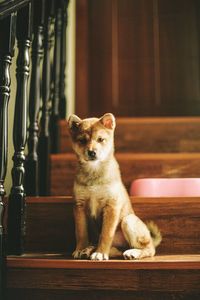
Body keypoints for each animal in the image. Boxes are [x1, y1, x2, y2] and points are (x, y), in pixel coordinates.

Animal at [67, 113, 161, 260]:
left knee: (149, 249)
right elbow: (81, 232)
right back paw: (89, 249)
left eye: (100, 139)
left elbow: (106, 234)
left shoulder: (111, 205)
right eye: (82, 140)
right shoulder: (79, 205)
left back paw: (132, 252)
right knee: (116, 249)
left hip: (128, 220)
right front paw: (80, 249)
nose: (92, 152)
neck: (94, 172)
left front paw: (100, 253)